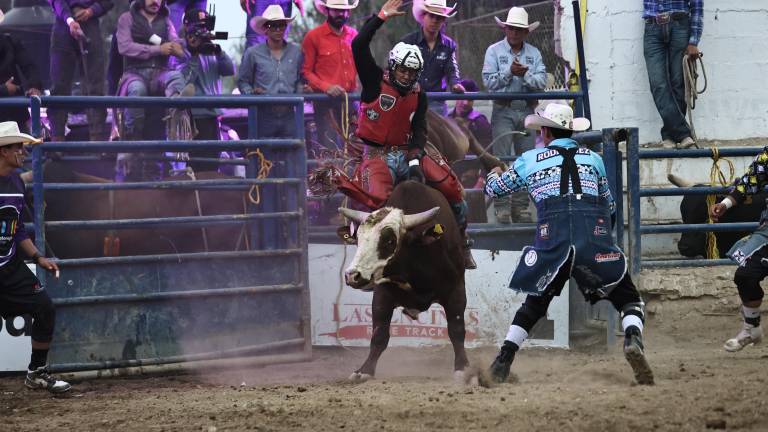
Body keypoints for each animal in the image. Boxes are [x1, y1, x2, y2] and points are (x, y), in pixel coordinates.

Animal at [337, 180, 471, 383]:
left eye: (390, 241)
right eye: (357, 239)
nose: (353, 275)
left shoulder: (456, 291)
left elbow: (456, 330)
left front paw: (462, 368)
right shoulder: (382, 294)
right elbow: (379, 335)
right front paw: (364, 371)